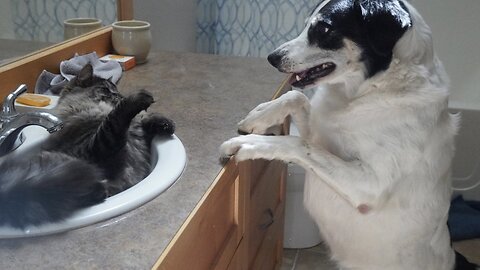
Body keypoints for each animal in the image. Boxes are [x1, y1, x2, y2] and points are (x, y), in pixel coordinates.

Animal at [0, 64, 174, 229]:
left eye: (117, 91)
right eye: (106, 90)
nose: (120, 96)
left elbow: (145, 121)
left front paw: (165, 124)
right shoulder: (95, 147)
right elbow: (115, 118)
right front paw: (138, 98)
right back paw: (99, 190)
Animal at [223, 0, 478, 270]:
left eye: (324, 29)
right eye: (306, 25)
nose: (271, 58)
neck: (372, 91)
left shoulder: (369, 186)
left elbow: (297, 142)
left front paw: (251, 143)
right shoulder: (320, 135)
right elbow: (296, 96)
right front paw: (260, 116)